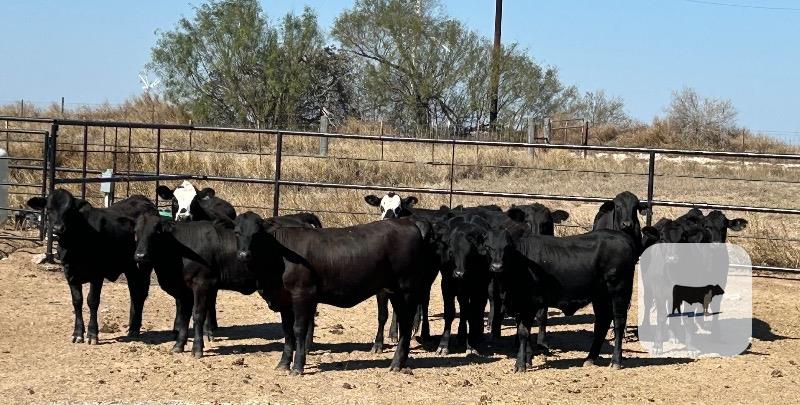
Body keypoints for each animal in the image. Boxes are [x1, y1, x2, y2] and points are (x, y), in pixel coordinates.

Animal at [27, 189, 157, 344]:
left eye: (70, 209)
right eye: (49, 209)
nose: (58, 228)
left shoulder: (97, 274)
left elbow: (92, 301)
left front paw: (92, 334)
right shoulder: (70, 274)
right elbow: (77, 301)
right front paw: (77, 333)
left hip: (142, 266)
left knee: (140, 294)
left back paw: (134, 329)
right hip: (130, 268)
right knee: (134, 294)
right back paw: (131, 327)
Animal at [234, 211, 434, 375]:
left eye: (257, 233)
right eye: (236, 232)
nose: (244, 255)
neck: (280, 255)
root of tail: (409, 222)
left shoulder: (302, 294)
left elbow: (299, 330)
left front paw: (297, 367)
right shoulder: (284, 300)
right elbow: (287, 331)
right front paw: (283, 364)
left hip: (406, 289)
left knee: (406, 324)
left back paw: (396, 364)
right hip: (395, 292)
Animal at [477, 226, 638, 371]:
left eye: (507, 247)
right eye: (488, 247)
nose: (497, 266)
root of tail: (622, 237)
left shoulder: (529, 305)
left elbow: (523, 332)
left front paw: (520, 364)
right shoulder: (521, 306)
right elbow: (523, 331)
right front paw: (528, 359)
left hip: (619, 291)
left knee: (619, 323)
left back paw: (616, 361)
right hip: (600, 297)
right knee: (602, 323)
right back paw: (590, 358)